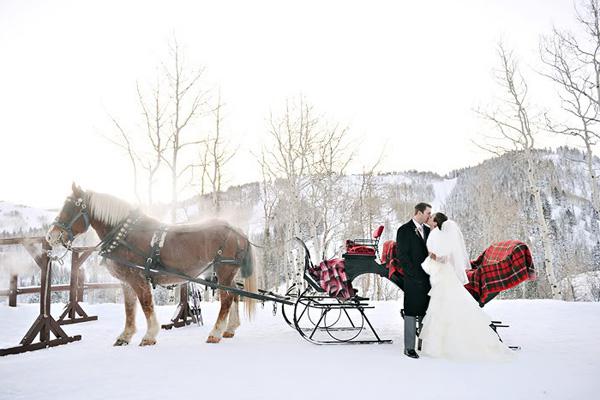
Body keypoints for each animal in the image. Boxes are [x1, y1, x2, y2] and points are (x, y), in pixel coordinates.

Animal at [44, 184, 255, 344]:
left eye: (71, 207)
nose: (50, 236)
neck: (124, 235)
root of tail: (237, 231)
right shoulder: (126, 282)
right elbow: (130, 308)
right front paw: (125, 336)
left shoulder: (138, 279)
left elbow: (145, 304)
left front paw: (149, 336)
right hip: (227, 273)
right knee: (235, 294)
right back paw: (230, 329)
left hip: (224, 270)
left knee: (227, 298)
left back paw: (215, 333)